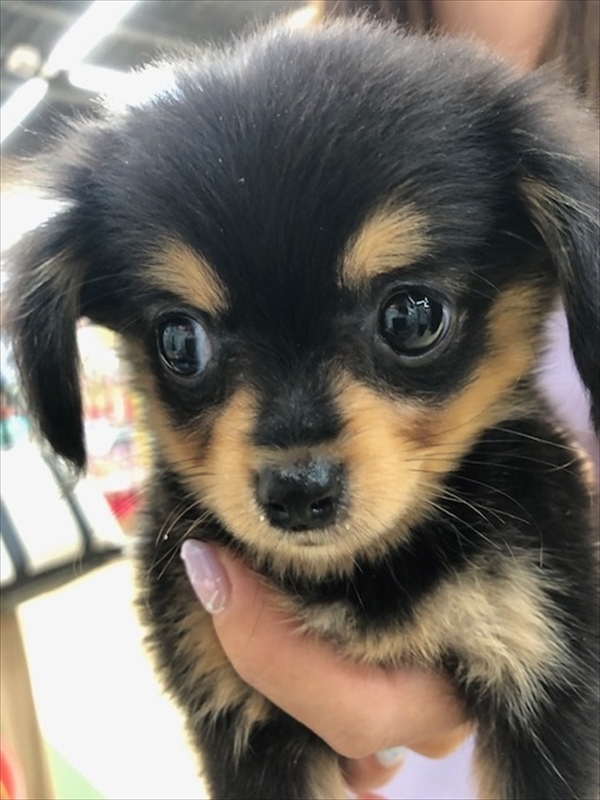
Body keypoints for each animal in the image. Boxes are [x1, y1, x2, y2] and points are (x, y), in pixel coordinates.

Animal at [6, 18, 599, 800]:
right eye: (179, 340)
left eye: (413, 316)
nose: (295, 492)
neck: (360, 574)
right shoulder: (240, 718)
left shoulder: (545, 667)